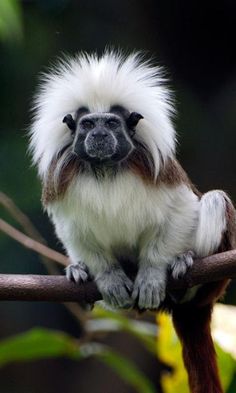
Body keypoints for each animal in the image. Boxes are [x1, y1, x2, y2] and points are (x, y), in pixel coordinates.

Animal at [30, 52, 236, 392]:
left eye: (112, 123)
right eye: (88, 125)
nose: (100, 135)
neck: (106, 169)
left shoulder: (158, 170)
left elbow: (181, 208)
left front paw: (152, 274)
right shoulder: (62, 181)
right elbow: (71, 228)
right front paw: (107, 276)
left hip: (213, 282)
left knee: (215, 200)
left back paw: (186, 267)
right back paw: (80, 270)